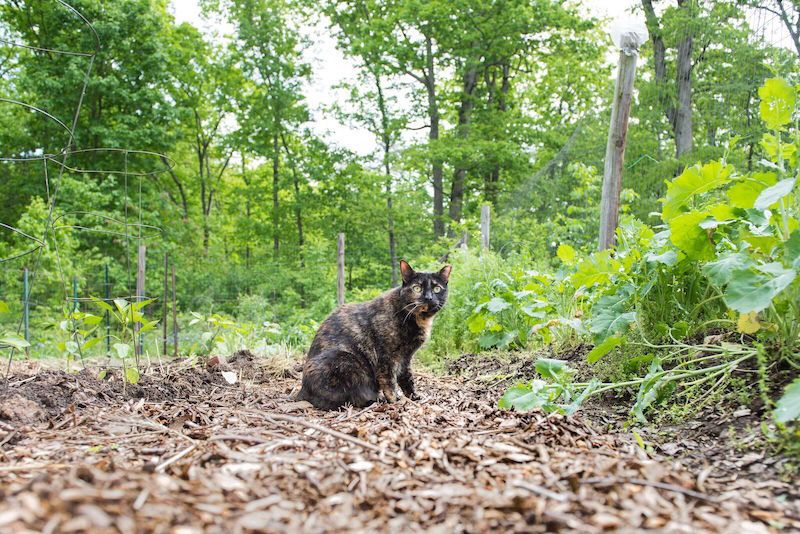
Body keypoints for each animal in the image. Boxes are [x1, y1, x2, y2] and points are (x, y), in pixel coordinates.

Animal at [298, 262, 454, 412]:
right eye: (417, 288)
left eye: (437, 289)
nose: (428, 297)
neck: (419, 319)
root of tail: (302, 391)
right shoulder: (386, 356)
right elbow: (389, 381)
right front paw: (395, 401)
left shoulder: (405, 358)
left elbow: (407, 378)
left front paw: (413, 397)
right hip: (345, 360)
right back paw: (375, 400)